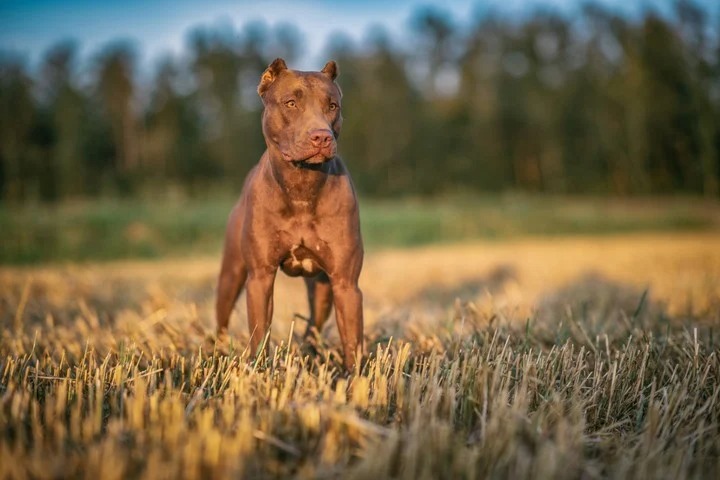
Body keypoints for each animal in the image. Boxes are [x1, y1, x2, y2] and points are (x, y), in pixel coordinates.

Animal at [212, 57, 360, 372]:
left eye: (332, 106)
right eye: (291, 103)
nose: (321, 137)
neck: (302, 185)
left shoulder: (346, 283)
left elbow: (353, 341)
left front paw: (356, 377)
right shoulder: (260, 277)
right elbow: (259, 333)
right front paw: (257, 371)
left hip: (323, 288)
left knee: (314, 323)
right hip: (231, 274)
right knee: (221, 319)